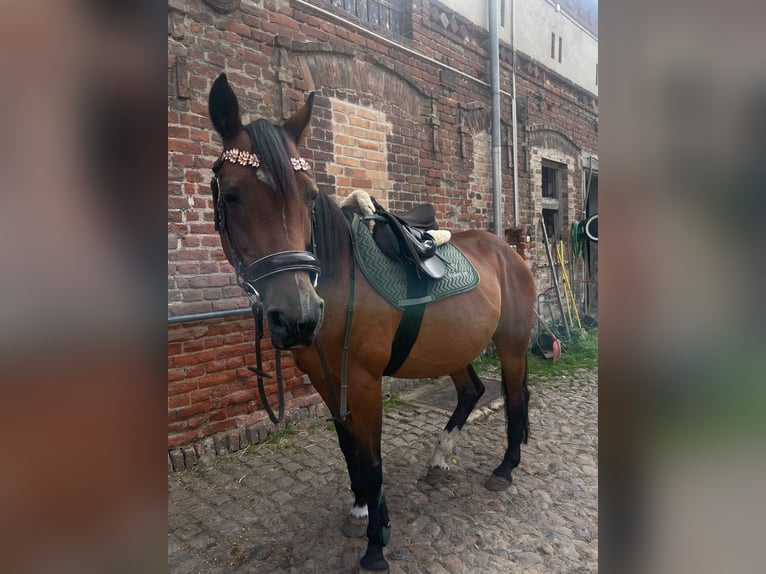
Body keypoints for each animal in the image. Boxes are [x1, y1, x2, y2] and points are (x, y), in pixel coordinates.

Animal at [206, 73, 536, 572]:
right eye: (230, 196)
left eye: (308, 197)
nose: (297, 317)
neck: (338, 279)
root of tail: (508, 250)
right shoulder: (325, 378)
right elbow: (350, 449)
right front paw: (361, 507)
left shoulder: (363, 382)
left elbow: (373, 459)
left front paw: (376, 544)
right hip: (453, 347)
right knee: (473, 391)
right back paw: (439, 459)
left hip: (512, 346)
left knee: (514, 399)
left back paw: (505, 468)